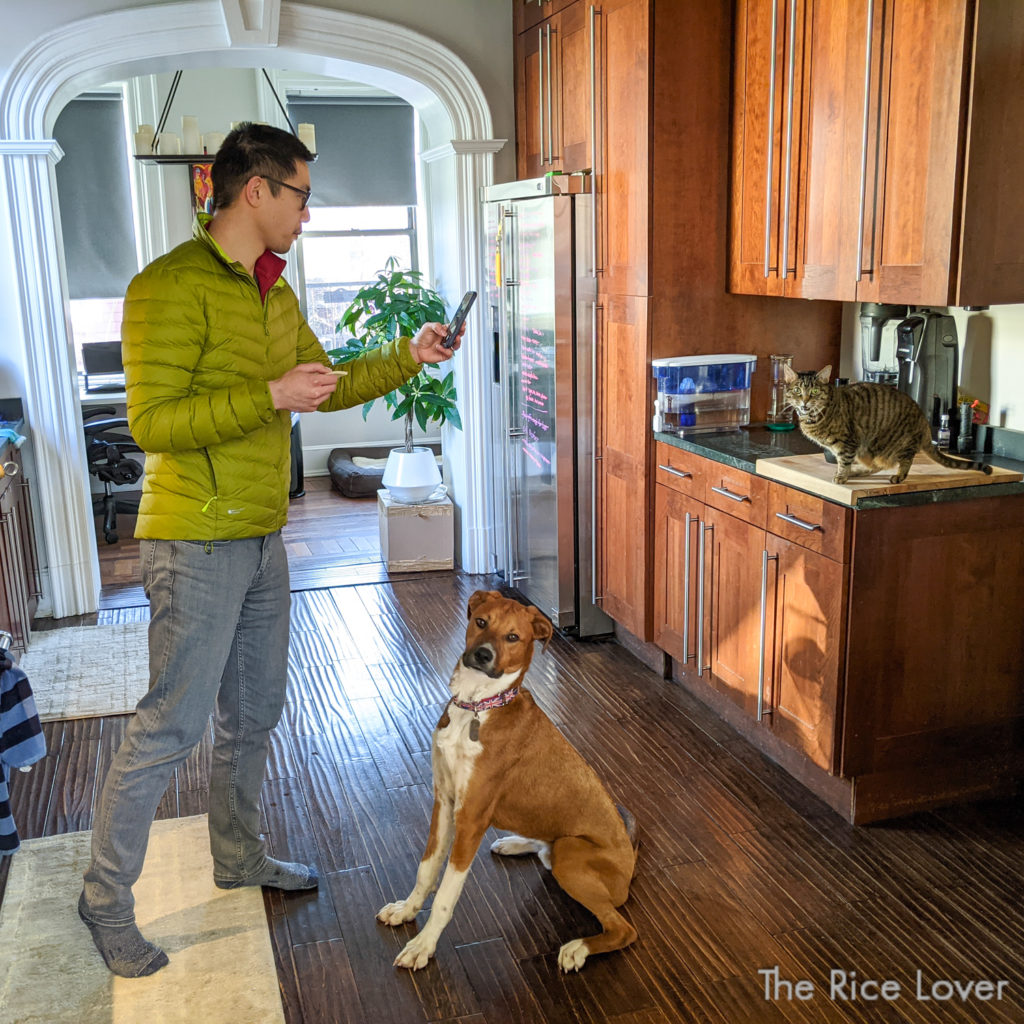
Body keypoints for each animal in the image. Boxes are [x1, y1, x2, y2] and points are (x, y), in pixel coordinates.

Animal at [376, 589, 638, 970]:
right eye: (481, 621)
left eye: (513, 637)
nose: (483, 654)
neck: (478, 706)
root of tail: (632, 857)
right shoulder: (444, 802)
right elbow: (426, 869)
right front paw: (406, 910)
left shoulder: (470, 819)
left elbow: (446, 895)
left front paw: (423, 945)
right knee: (544, 849)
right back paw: (515, 843)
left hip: (572, 851)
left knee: (623, 929)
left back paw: (579, 948)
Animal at [778, 364, 987, 483]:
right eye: (797, 391)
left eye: (814, 392)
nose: (805, 402)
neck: (814, 416)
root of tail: (924, 422)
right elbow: (842, 461)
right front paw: (845, 473)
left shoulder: (848, 442)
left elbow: (843, 461)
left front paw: (842, 476)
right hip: (871, 449)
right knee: (877, 465)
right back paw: (858, 472)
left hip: (898, 443)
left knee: (904, 460)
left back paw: (898, 476)